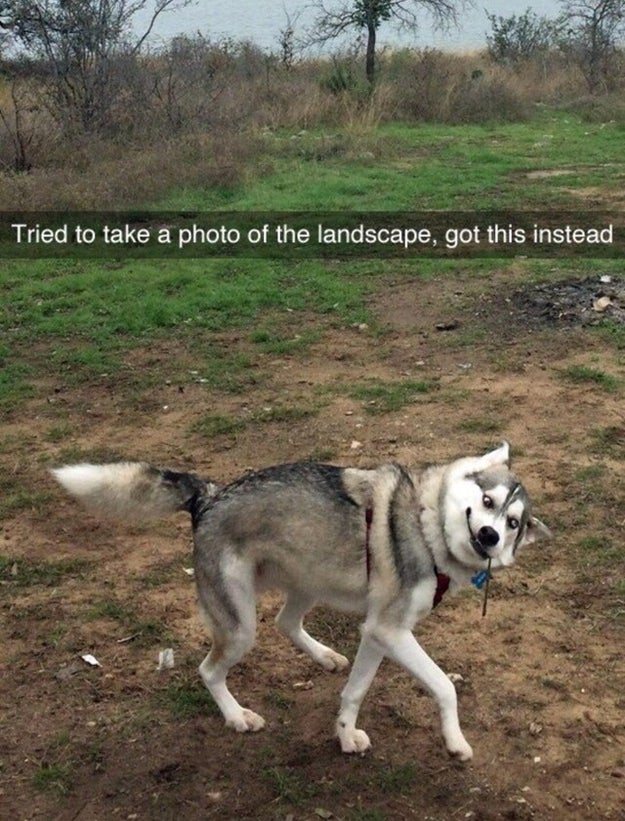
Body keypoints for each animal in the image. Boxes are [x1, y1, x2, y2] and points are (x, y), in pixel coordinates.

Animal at [54, 442, 552, 764]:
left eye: (512, 523)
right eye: (486, 500)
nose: (489, 535)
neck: (427, 526)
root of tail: (209, 495)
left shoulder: (378, 633)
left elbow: (354, 691)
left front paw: (345, 737)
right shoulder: (391, 631)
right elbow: (445, 686)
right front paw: (455, 743)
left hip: (308, 582)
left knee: (285, 622)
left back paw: (325, 656)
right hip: (239, 627)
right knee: (209, 669)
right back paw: (237, 717)